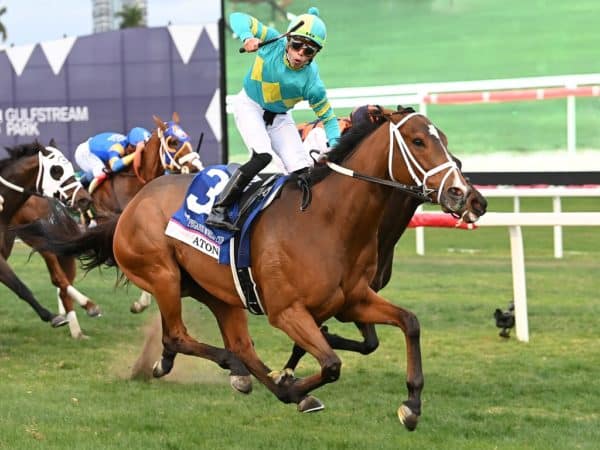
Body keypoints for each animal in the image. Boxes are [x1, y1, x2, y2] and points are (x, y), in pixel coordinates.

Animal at [0, 142, 92, 328]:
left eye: (70, 166)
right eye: (56, 170)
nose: (84, 199)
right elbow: (20, 286)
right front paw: (52, 316)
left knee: (58, 276)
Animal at [19, 107, 474, 430]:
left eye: (446, 140)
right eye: (418, 141)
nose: (462, 194)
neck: (329, 221)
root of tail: (132, 206)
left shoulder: (355, 300)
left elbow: (409, 322)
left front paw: (411, 404)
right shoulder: (286, 311)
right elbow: (331, 364)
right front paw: (295, 381)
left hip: (218, 293)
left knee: (236, 346)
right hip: (163, 274)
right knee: (182, 335)